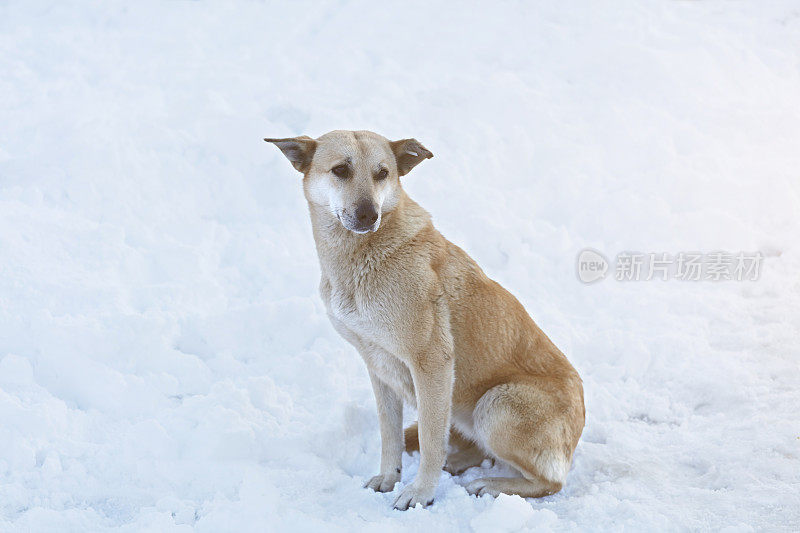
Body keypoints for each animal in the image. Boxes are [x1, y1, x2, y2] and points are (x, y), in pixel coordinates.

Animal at [266, 131, 584, 510]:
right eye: (341, 169)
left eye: (382, 173)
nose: (368, 214)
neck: (361, 259)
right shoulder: (378, 368)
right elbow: (390, 435)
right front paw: (389, 478)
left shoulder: (431, 362)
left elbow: (432, 440)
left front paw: (420, 493)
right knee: (478, 449)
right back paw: (462, 464)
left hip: (495, 405)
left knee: (551, 482)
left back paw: (491, 484)